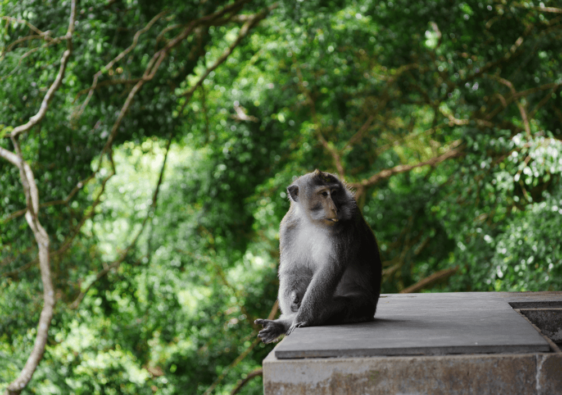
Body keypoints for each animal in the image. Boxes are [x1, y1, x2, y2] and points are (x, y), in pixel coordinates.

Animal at [254, 169, 380, 344]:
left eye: (334, 193)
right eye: (323, 194)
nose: (335, 208)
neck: (313, 222)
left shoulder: (346, 226)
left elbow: (328, 271)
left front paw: (300, 319)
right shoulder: (288, 227)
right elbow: (294, 269)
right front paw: (293, 299)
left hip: (362, 306)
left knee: (336, 307)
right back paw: (279, 325)